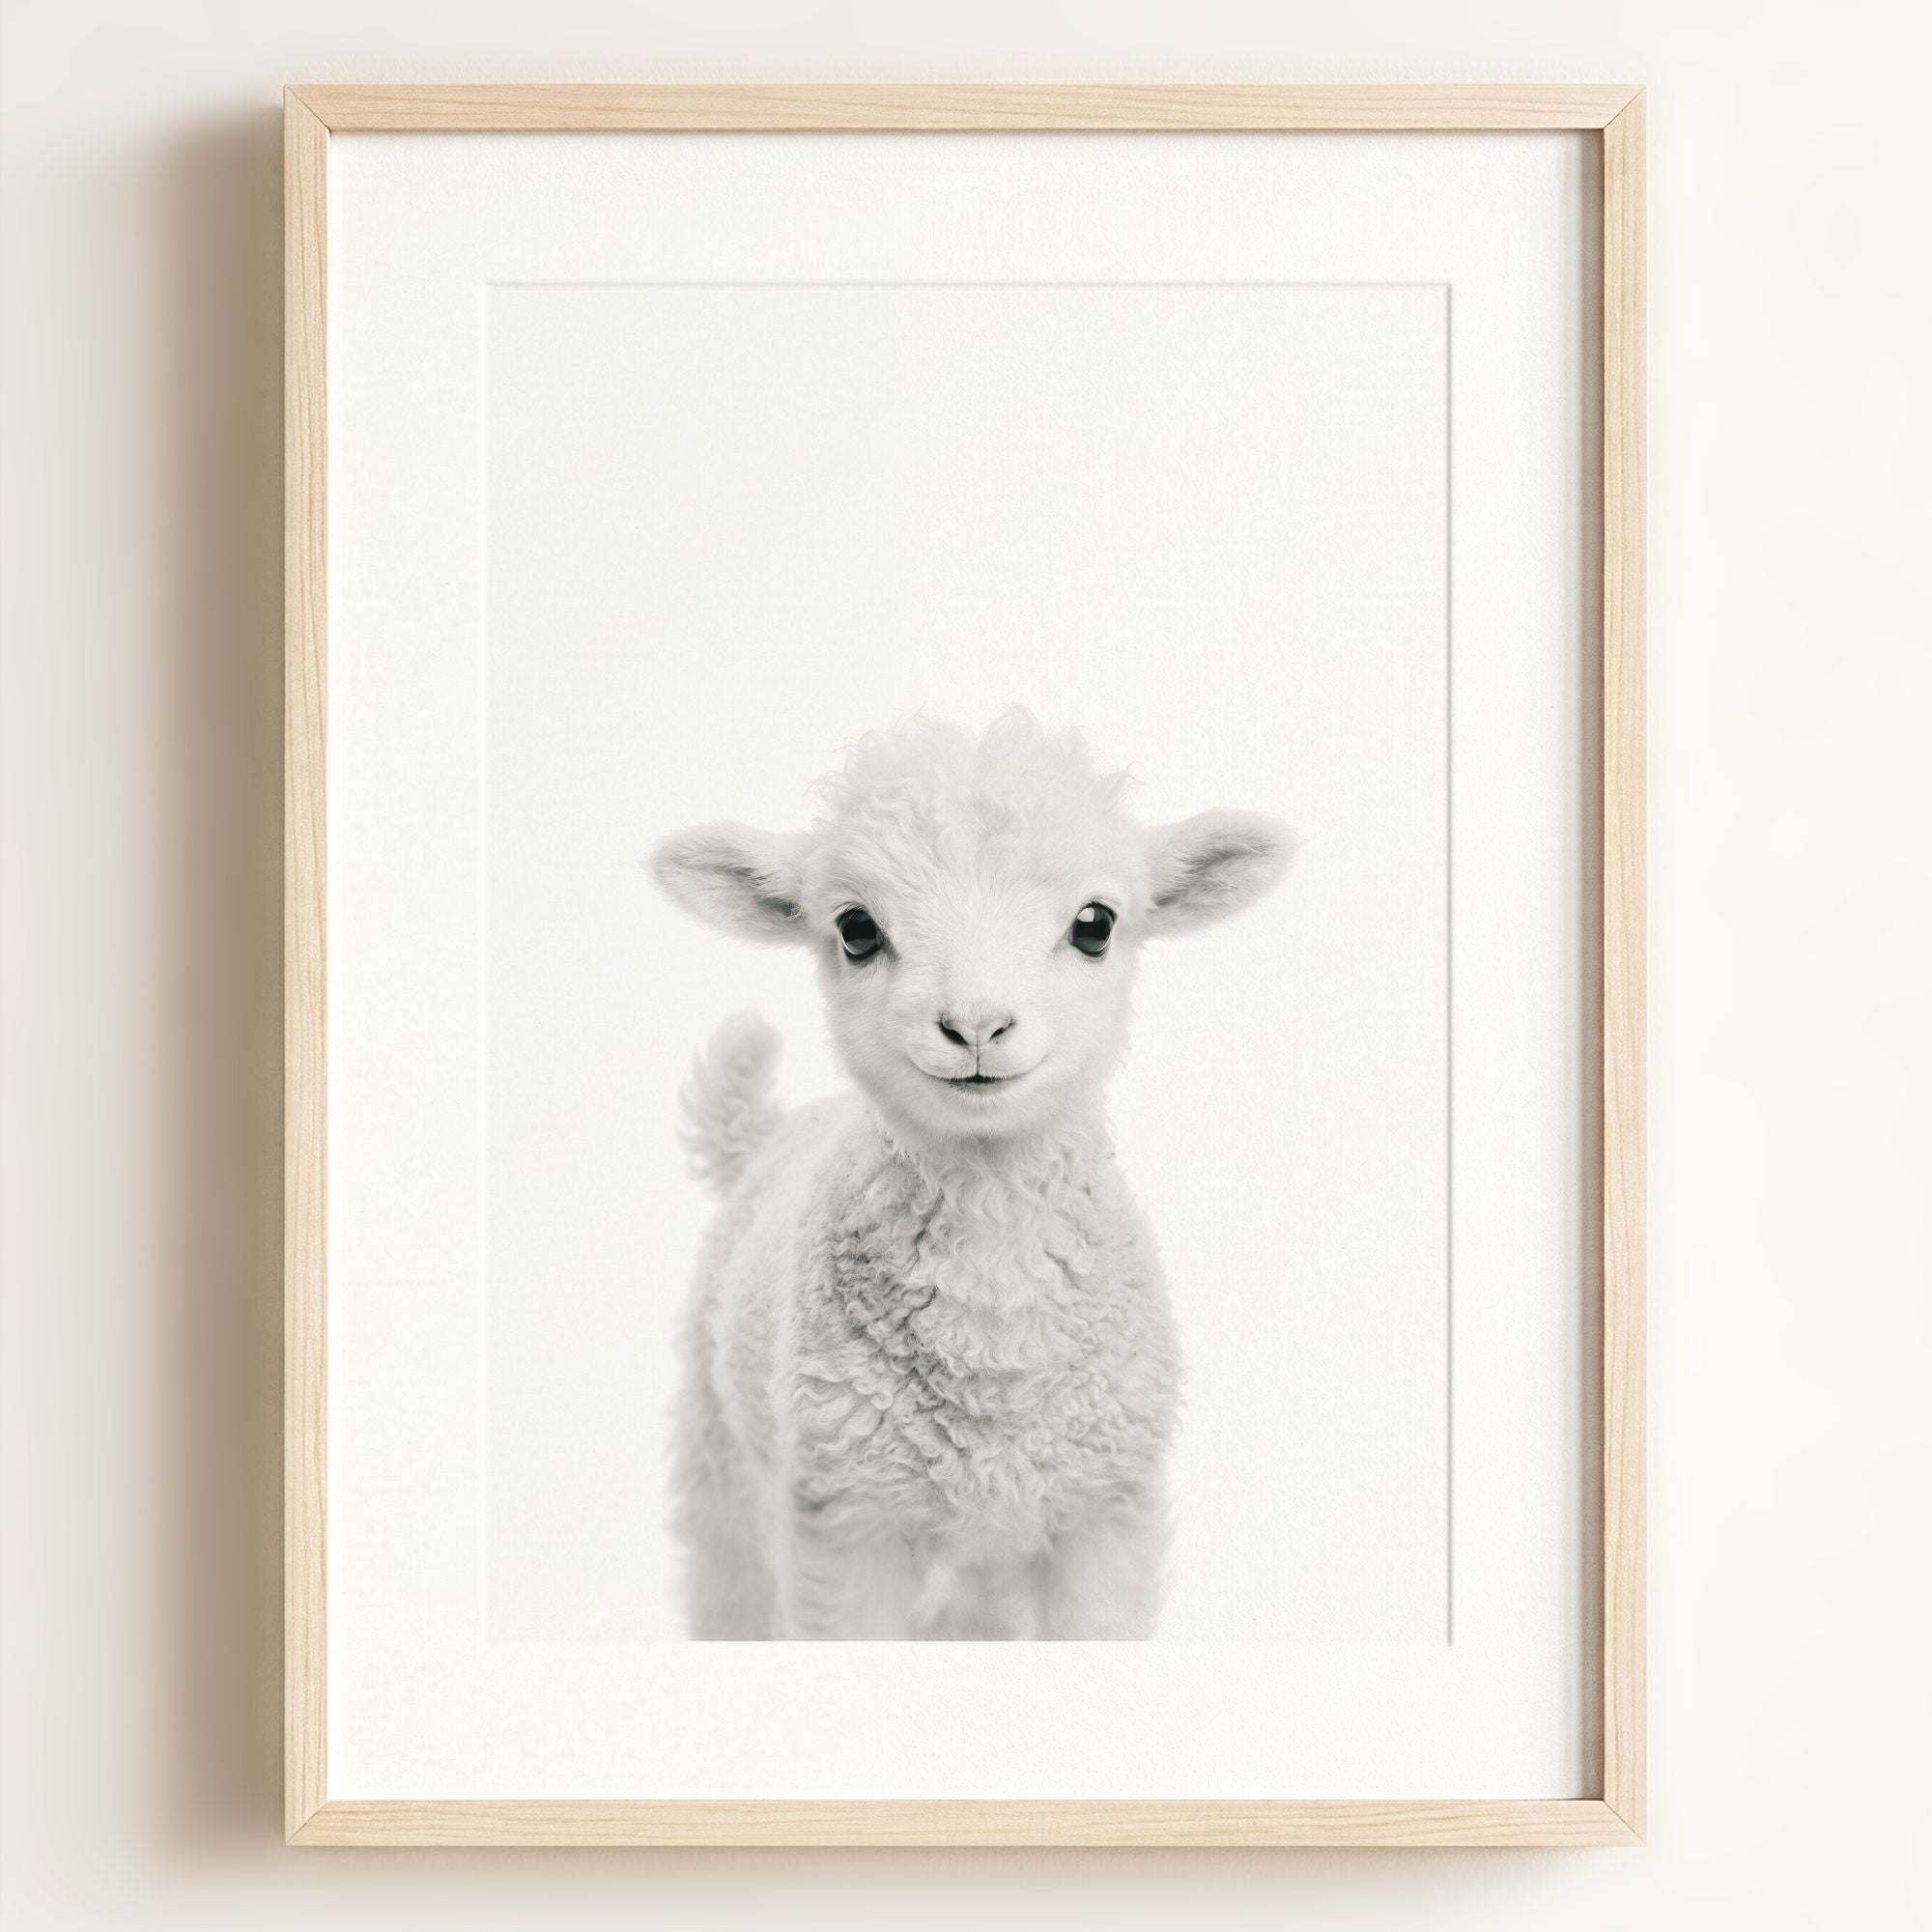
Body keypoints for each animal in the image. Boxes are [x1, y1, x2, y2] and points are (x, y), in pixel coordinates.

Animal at [650, 709, 1295, 1639]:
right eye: (856, 929)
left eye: (1096, 923)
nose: (977, 1025)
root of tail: (768, 1132)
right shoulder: (845, 1524)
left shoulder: (1105, 1512)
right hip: (724, 1465)